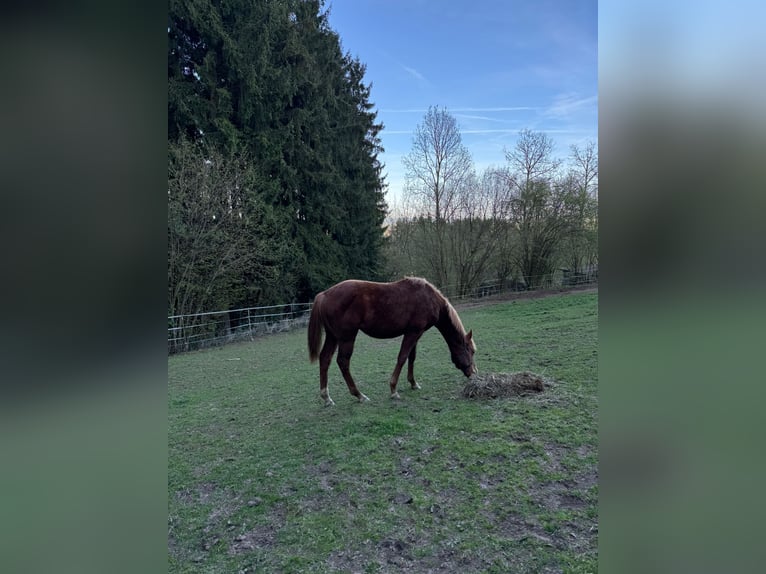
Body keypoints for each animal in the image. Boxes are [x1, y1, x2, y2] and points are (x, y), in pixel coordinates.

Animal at [307, 276, 477, 406]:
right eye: (472, 351)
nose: (473, 373)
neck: (429, 298)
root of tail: (324, 295)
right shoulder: (414, 332)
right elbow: (402, 357)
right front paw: (393, 390)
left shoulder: (414, 333)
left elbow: (411, 357)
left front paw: (413, 383)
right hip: (347, 337)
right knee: (343, 362)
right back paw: (359, 395)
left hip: (333, 336)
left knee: (325, 359)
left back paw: (327, 398)